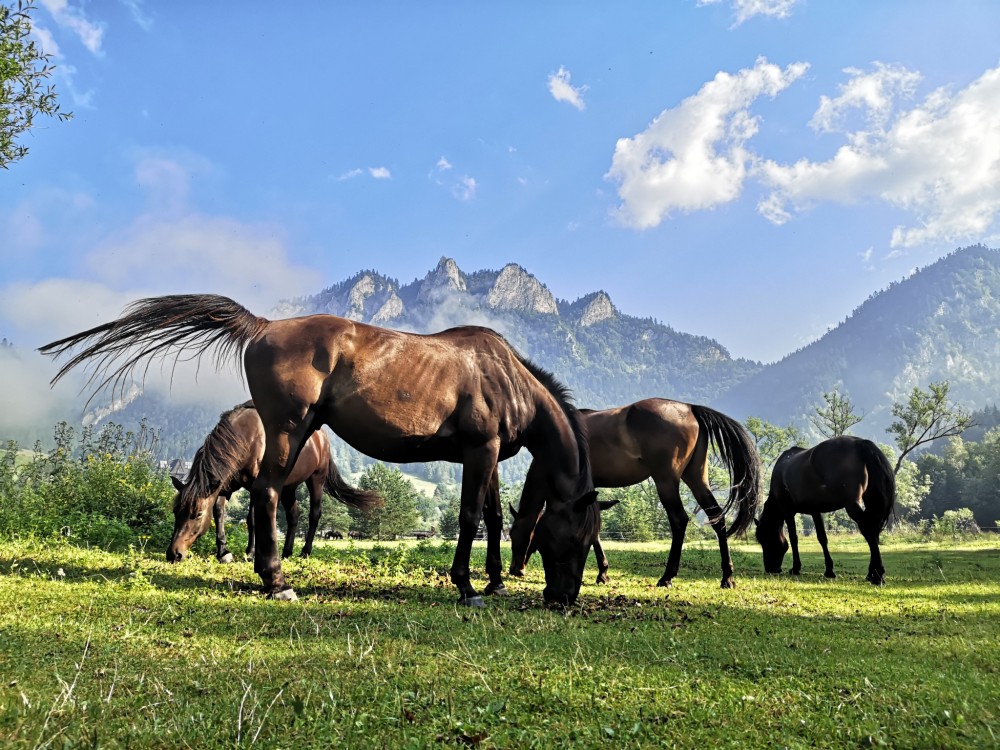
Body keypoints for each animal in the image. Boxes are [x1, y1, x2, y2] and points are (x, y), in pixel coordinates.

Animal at [168, 400, 378, 564]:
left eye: (197, 514)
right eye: (176, 511)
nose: (173, 554)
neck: (247, 438)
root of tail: (322, 438)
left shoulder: (254, 485)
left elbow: (252, 519)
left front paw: (251, 553)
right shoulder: (224, 485)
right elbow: (219, 512)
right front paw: (224, 552)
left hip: (316, 478)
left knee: (315, 513)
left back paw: (305, 551)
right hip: (288, 487)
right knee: (294, 514)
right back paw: (286, 552)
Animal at [512, 402, 760, 592]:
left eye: (517, 534)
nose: (516, 569)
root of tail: (690, 408)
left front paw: (602, 572)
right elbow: (595, 530)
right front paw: (603, 573)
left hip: (666, 481)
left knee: (679, 520)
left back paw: (667, 577)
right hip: (697, 478)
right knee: (717, 517)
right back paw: (727, 577)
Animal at [756, 434, 900, 588]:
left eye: (764, 539)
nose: (770, 568)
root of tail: (859, 443)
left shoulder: (788, 512)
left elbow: (794, 539)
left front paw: (796, 568)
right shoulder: (815, 511)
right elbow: (822, 538)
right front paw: (829, 570)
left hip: (852, 505)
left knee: (870, 532)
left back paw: (877, 575)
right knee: (873, 532)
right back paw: (871, 573)